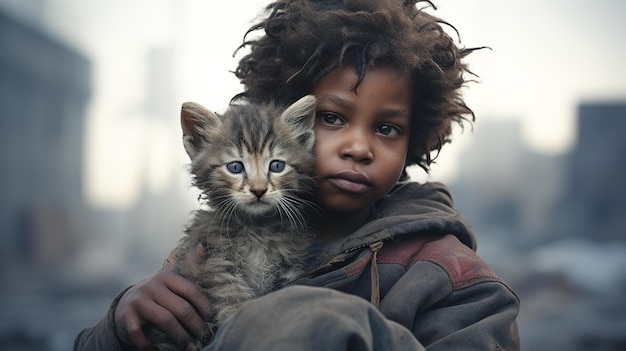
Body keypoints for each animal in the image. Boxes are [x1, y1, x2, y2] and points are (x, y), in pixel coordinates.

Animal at [146, 95, 316, 350]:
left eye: (277, 166)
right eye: (235, 167)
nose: (258, 189)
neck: (258, 228)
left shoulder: (291, 267)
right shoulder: (213, 262)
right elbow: (232, 297)